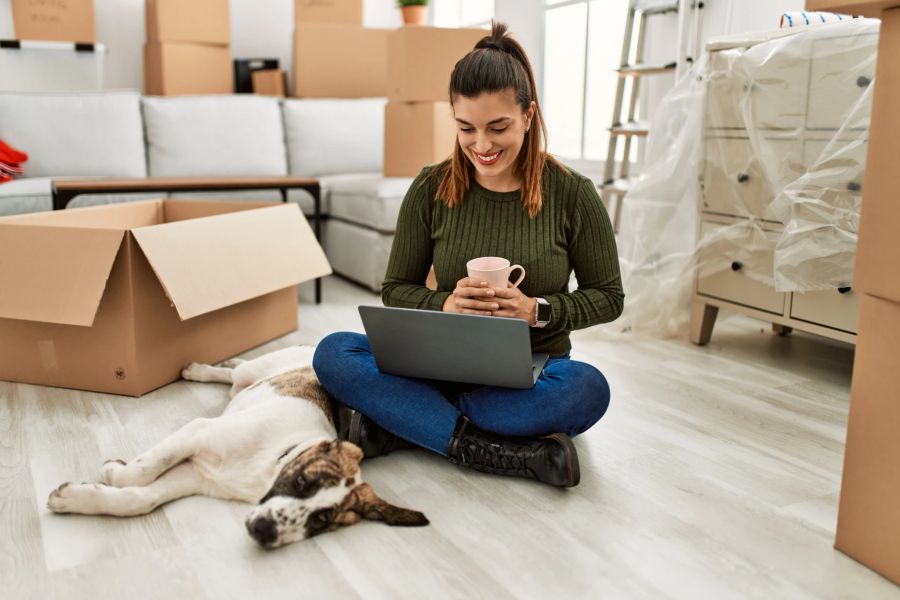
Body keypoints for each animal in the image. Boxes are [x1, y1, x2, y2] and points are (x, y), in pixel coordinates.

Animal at [45, 346, 428, 548]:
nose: (265, 532)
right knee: (236, 372)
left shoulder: (195, 477)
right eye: (302, 482)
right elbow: (144, 469)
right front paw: (115, 471)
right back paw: (199, 370)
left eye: (322, 519)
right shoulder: (197, 433)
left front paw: (75, 498)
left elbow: (140, 500)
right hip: (262, 369)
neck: (268, 466)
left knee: (235, 376)